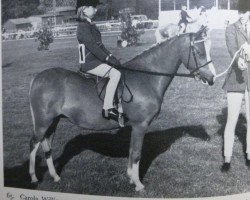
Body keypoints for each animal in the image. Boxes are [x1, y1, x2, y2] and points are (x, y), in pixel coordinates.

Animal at [28, 28, 215, 191]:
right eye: (199, 52)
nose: (212, 78)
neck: (146, 77)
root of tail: (37, 78)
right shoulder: (140, 125)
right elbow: (137, 153)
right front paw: (138, 184)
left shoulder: (136, 127)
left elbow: (132, 151)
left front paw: (131, 177)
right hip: (43, 122)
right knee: (34, 144)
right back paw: (33, 178)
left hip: (53, 121)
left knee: (47, 145)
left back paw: (55, 176)